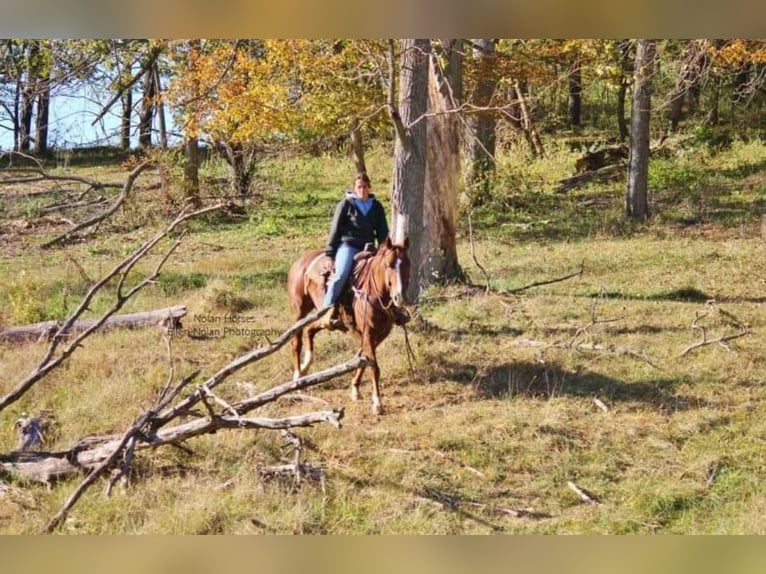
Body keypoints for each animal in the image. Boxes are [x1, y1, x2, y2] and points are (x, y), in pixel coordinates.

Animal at [286, 236, 412, 416]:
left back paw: (305, 368)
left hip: (321, 318)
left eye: (408, 264)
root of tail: (299, 262)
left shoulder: (378, 334)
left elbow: (363, 359)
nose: (399, 296)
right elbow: (373, 366)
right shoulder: (368, 333)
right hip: (299, 311)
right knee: (296, 341)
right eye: (388, 265)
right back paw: (297, 378)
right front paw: (377, 403)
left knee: (310, 330)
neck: (373, 292)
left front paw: (355, 389)